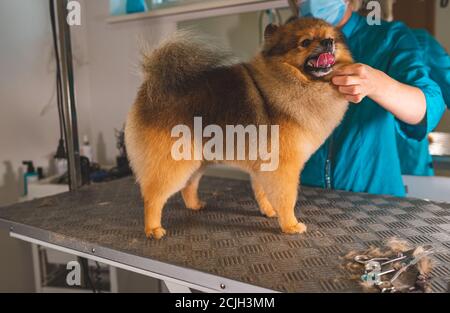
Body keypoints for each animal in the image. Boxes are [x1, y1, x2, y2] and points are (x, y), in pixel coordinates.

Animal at [125, 18, 354, 238]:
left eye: (331, 38)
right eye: (305, 42)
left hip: (197, 159)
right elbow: (287, 198)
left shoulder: (264, 164)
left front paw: (269, 211)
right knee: (153, 197)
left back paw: (195, 205)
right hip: (174, 161)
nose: (328, 43)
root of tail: (152, 83)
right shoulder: (283, 167)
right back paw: (153, 229)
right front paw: (290, 224)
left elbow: (262, 192)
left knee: (189, 186)